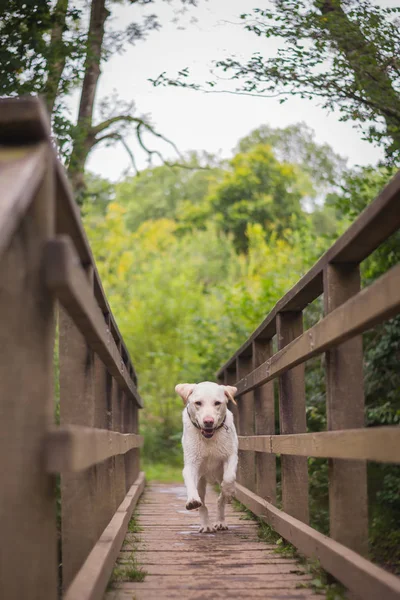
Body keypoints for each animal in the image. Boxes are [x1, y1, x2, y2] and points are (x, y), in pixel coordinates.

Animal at [175, 382, 238, 532]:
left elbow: (229, 478)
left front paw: (229, 491)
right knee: (203, 504)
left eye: (217, 403)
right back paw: (206, 525)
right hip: (201, 481)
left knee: (220, 499)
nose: (208, 421)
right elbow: (190, 484)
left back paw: (220, 520)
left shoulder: (231, 456)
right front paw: (192, 500)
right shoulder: (191, 464)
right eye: (198, 403)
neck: (209, 438)